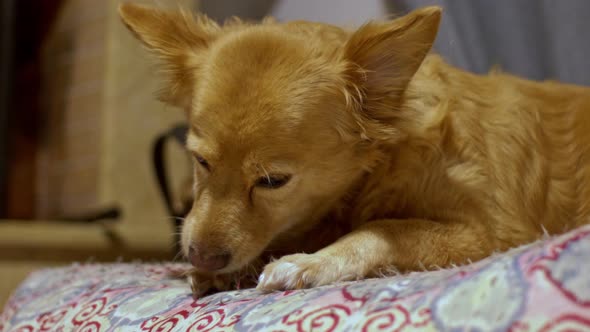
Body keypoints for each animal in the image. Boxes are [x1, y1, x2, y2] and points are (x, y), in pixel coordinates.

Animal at [119, 3, 590, 296]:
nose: (201, 254)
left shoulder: (485, 234)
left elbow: (383, 228)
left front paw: (309, 262)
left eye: (273, 181)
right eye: (200, 161)